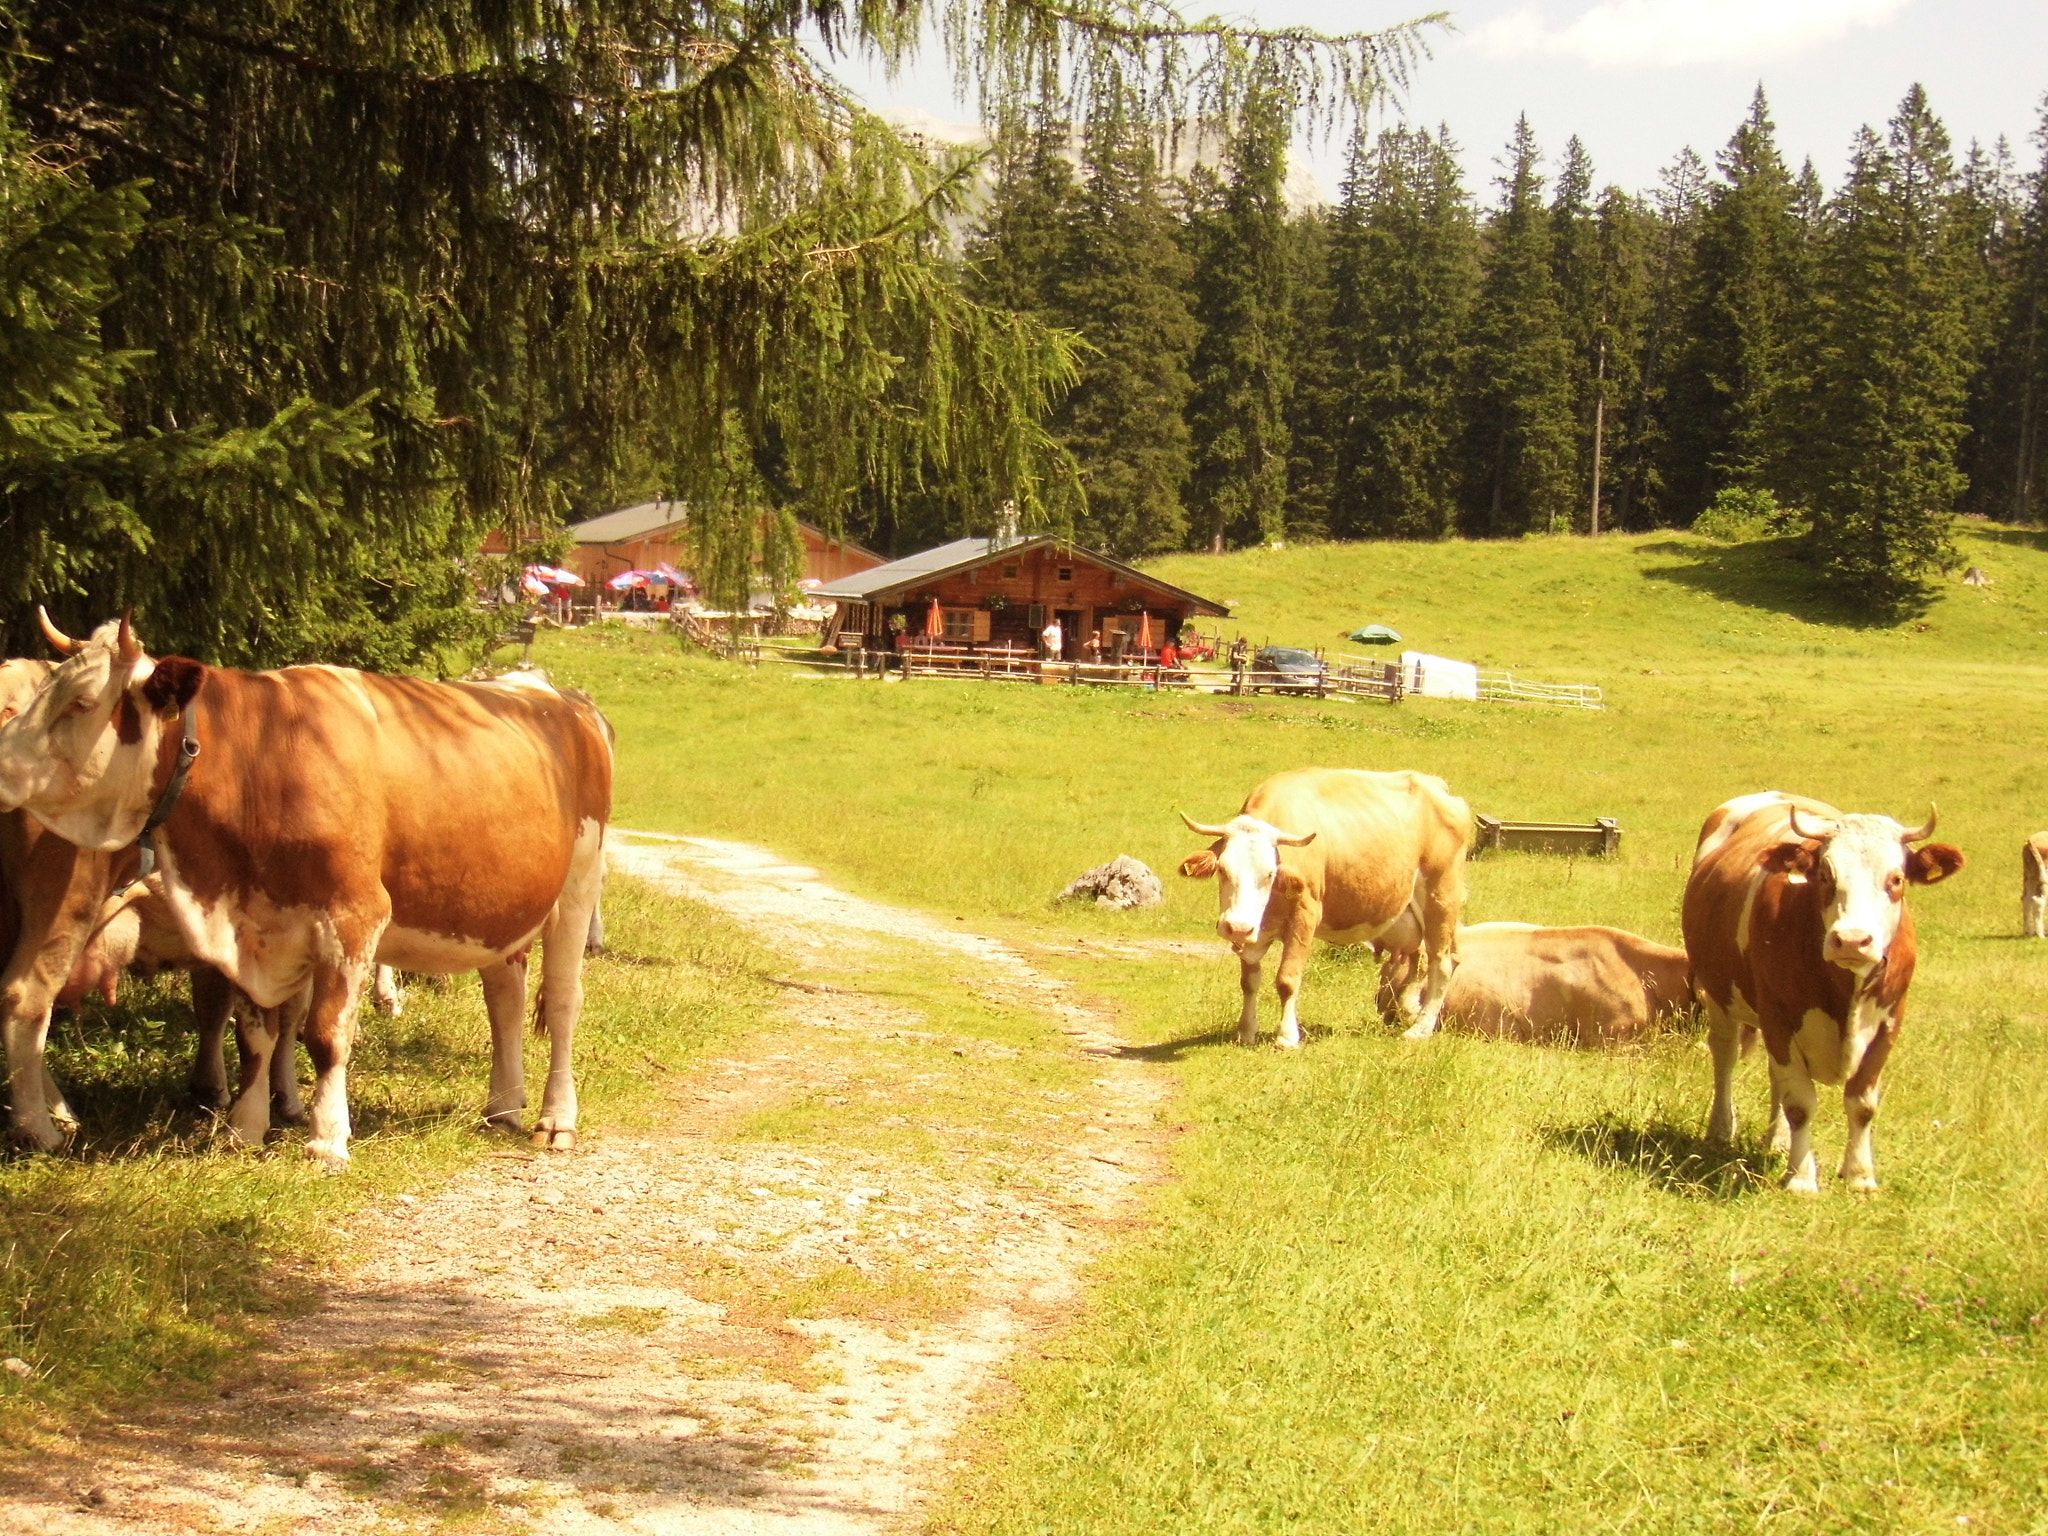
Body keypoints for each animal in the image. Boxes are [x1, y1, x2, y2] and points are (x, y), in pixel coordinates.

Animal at [0, 618, 606, 1171]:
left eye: (80, 703)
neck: (262, 759)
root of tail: (549, 692)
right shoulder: (256, 925)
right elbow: (256, 1034)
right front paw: (245, 1129)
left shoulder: (355, 917)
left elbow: (326, 1034)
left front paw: (327, 1140)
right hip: (505, 903)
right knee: (504, 995)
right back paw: (502, 1107)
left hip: (579, 880)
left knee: (563, 1000)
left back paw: (556, 1118)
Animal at [1187, 765, 1474, 1048]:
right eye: (1222, 870)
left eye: (1269, 874)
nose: (1237, 927)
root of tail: (1438, 787)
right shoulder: (1254, 933)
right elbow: (1248, 981)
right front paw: (1246, 1031)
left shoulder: (1305, 915)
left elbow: (1287, 979)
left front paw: (1287, 1036)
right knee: (1422, 960)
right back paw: (1411, 1011)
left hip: (1441, 897)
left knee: (1442, 963)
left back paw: (1420, 1029)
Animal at [1679, 794, 1966, 1204]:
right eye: (1827, 876)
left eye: (1896, 879)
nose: (1852, 940)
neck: (1846, 990)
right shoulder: (1779, 1017)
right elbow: (1800, 1103)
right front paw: (1801, 1178)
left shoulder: (1889, 1023)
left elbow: (1862, 1104)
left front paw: (1860, 1175)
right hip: (1720, 993)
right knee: (1725, 1056)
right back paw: (1721, 1129)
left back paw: (1778, 1139)